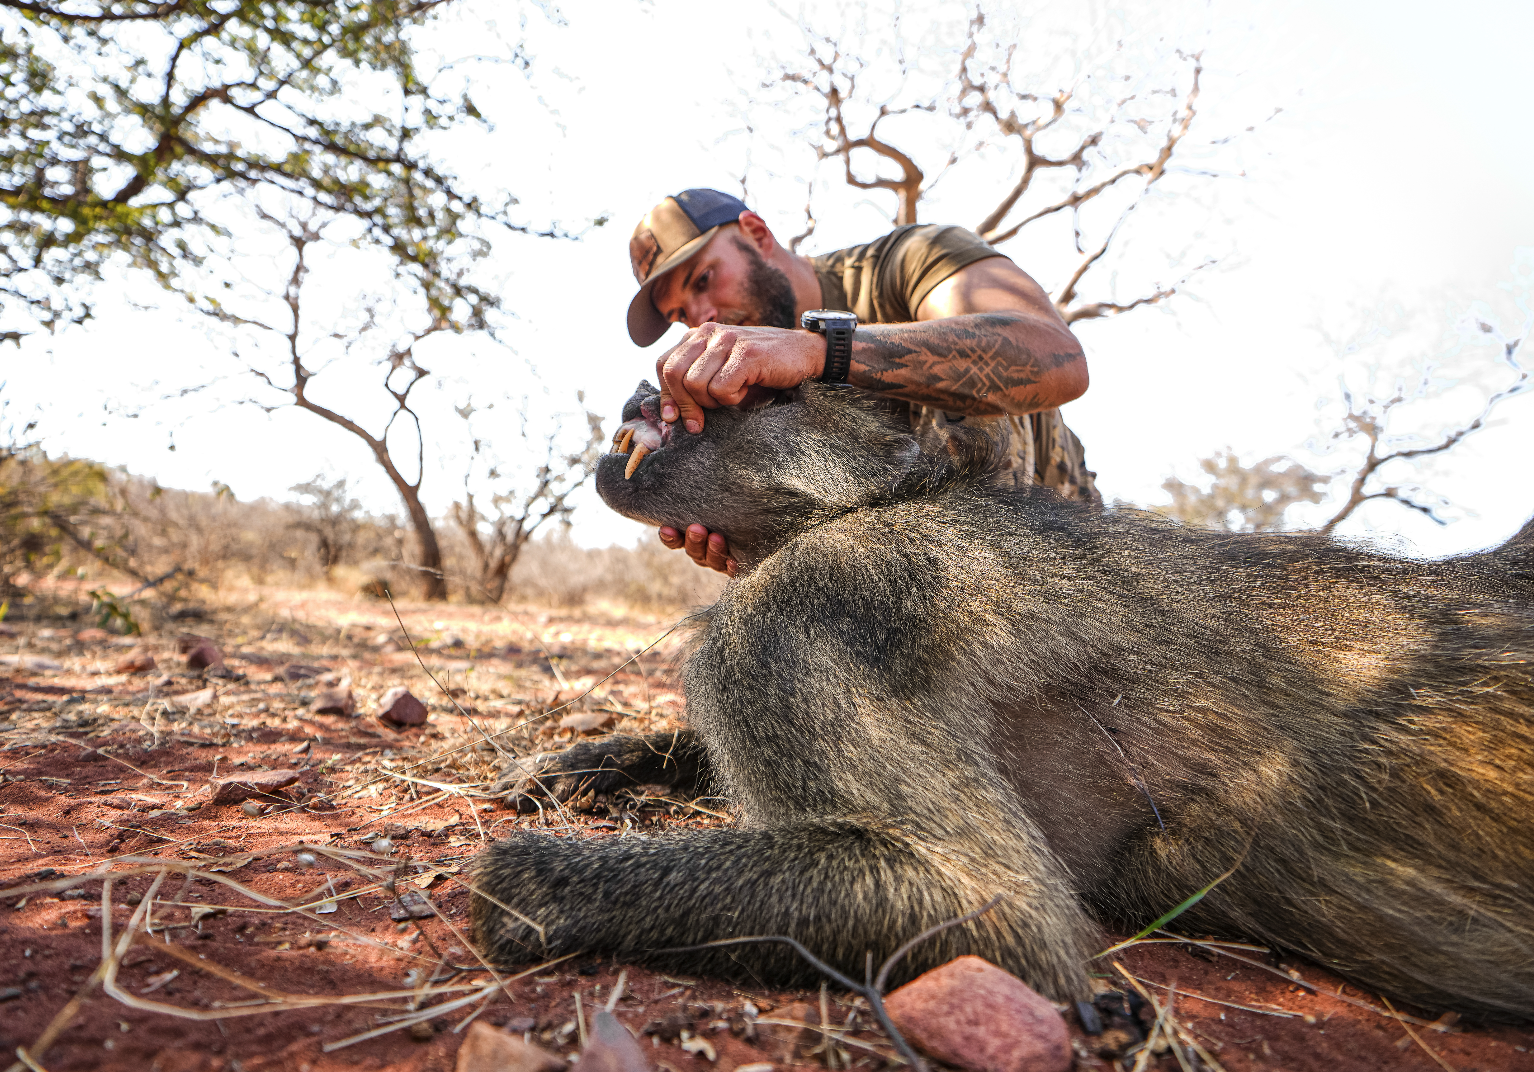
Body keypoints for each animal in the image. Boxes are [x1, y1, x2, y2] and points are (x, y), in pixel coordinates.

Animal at [473, 379, 1534, 1019]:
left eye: (756, 386)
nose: (641, 389)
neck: (874, 503)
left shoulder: (812, 600)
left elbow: (989, 901)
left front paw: (518, 885)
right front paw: (579, 764)